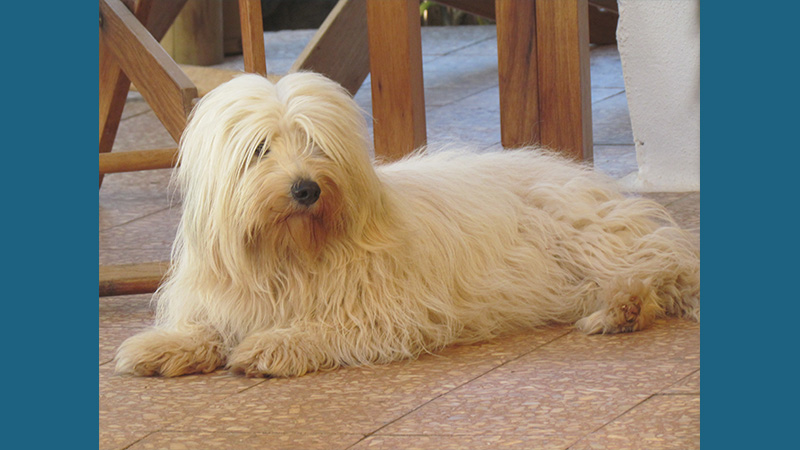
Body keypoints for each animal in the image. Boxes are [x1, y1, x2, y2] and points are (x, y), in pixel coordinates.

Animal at [114, 72, 700, 378]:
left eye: (316, 145)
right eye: (260, 149)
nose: (306, 188)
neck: (291, 253)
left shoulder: (387, 311)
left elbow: (327, 327)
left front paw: (273, 346)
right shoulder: (223, 295)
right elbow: (204, 325)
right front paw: (162, 347)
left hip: (592, 238)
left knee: (664, 270)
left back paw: (624, 307)